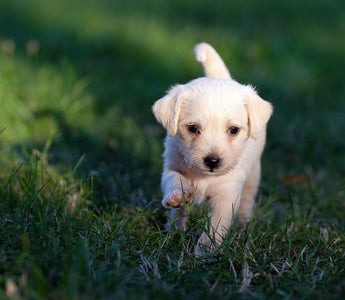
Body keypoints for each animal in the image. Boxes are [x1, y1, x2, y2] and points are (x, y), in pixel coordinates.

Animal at [152, 43, 272, 256]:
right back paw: (174, 228)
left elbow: (216, 225)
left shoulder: (227, 195)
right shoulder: (172, 166)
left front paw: (205, 251)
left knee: (247, 200)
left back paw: (243, 224)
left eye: (234, 130)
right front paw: (177, 196)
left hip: (253, 175)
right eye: (193, 128)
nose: (212, 161)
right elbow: (174, 180)